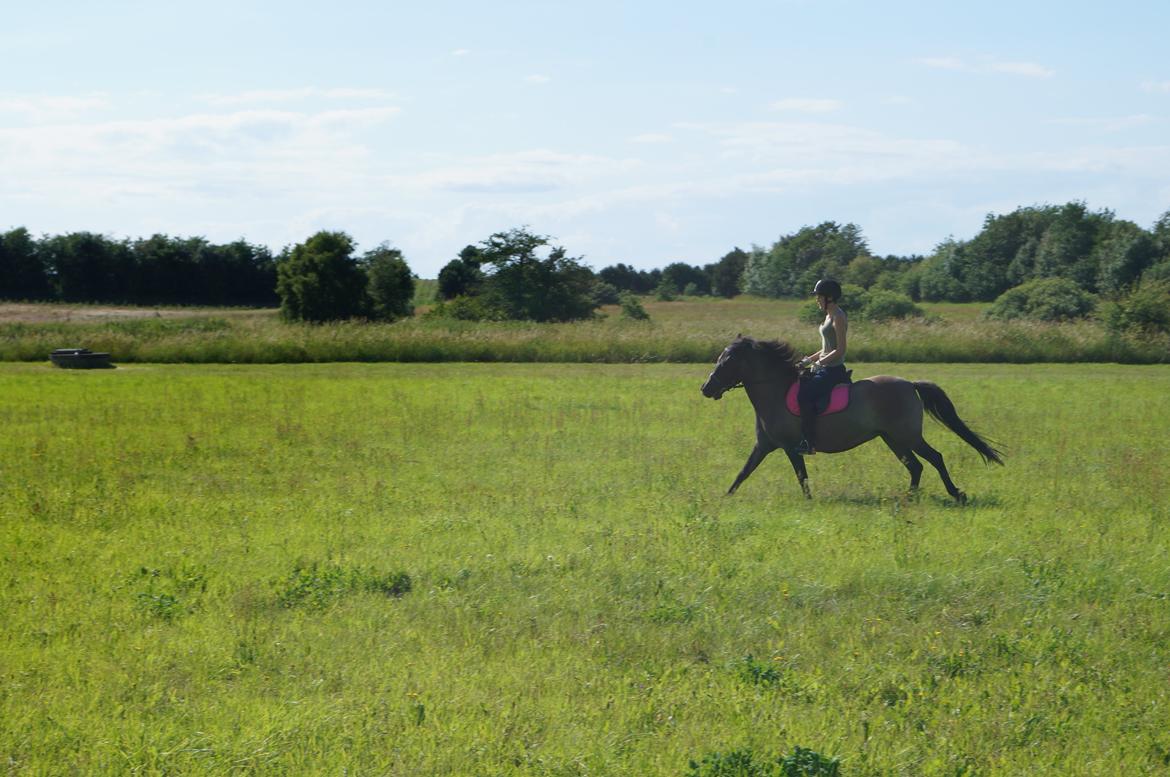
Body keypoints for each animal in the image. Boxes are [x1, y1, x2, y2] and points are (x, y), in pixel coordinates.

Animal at [697, 334, 1001, 503]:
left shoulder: (790, 447)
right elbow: (743, 472)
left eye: (727, 360)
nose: (706, 388)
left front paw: (809, 503)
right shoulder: (763, 446)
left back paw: (956, 494)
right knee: (915, 466)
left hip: (907, 436)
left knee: (934, 458)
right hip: (892, 438)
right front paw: (725, 498)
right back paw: (908, 498)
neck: (776, 391)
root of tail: (910, 384)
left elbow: (801, 476)